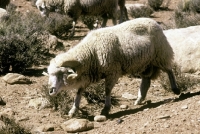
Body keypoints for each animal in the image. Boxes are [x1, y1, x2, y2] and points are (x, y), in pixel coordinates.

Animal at [46, 17, 180, 116]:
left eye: (60, 74)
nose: (50, 91)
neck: (91, 51)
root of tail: (153, 21)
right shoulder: (87, 76)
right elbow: (79, 92)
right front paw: (73, 110)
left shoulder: (112, 72)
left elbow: (107, 90)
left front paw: (105, 109)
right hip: (143, 63)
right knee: (146, 80)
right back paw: (139, 99)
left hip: (160, 54)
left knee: (169, 70)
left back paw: (175, 89)